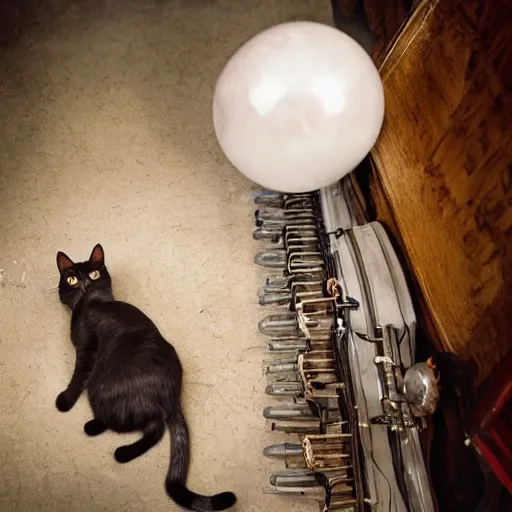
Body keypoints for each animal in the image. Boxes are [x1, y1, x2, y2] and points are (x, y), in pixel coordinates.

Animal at [55, 244, 236, 512]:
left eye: (94, 275)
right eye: (72, 279)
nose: (86, 284)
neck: (90, 304)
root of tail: (172, 392)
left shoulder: (87, 351)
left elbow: (77, 378)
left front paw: (64, 401)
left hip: (99, 387)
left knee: (151, 425)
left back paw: (103, 436)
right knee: (153, 426)